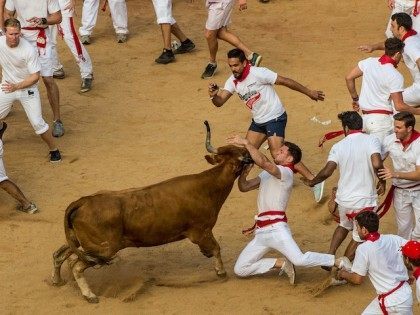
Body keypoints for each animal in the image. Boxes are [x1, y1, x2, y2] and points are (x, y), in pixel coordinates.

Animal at [50, 121, 253, 304]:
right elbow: (217, 249)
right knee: (75, 265)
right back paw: (89, 295)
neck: (209, 186)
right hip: (103, 249)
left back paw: (57, 280)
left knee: (59, 254)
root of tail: (83, 201)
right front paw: (221, 273)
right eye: (242, 156)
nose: (250, 154)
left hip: (80, 242)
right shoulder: (201, 232)